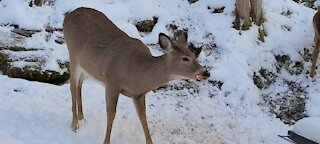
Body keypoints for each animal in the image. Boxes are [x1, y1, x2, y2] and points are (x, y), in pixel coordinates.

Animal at [63, 7, 211, 144]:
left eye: (194, 55)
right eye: (185, 58)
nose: (206, 72)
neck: (137, 73)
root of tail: (69, 15)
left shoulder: (139, 94)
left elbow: (143, 117)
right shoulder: (112, 83)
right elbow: (111, 114)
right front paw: (106, 141)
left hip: (86, 66)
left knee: (79, 84)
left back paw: (82, 118)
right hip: (73, 54)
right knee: (72, 84)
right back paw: (75, 124)